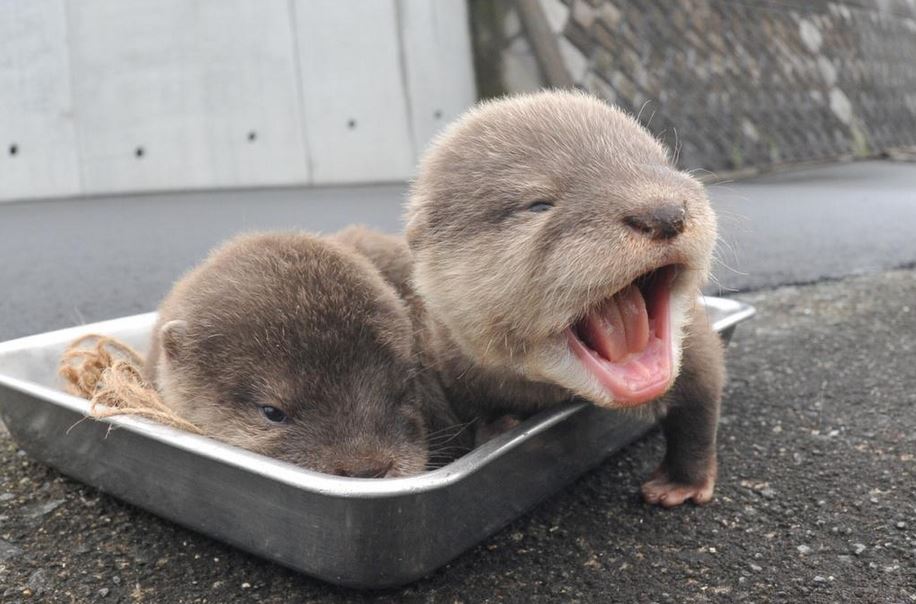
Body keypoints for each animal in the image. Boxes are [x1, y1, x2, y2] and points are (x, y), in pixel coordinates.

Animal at [343, 90, 725, 505]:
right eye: (539, 204)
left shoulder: (695, 343)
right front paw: (498, 426)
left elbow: (699, 403)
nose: (665, 212)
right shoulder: (446, 364)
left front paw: (681, 481)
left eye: (663, 165)